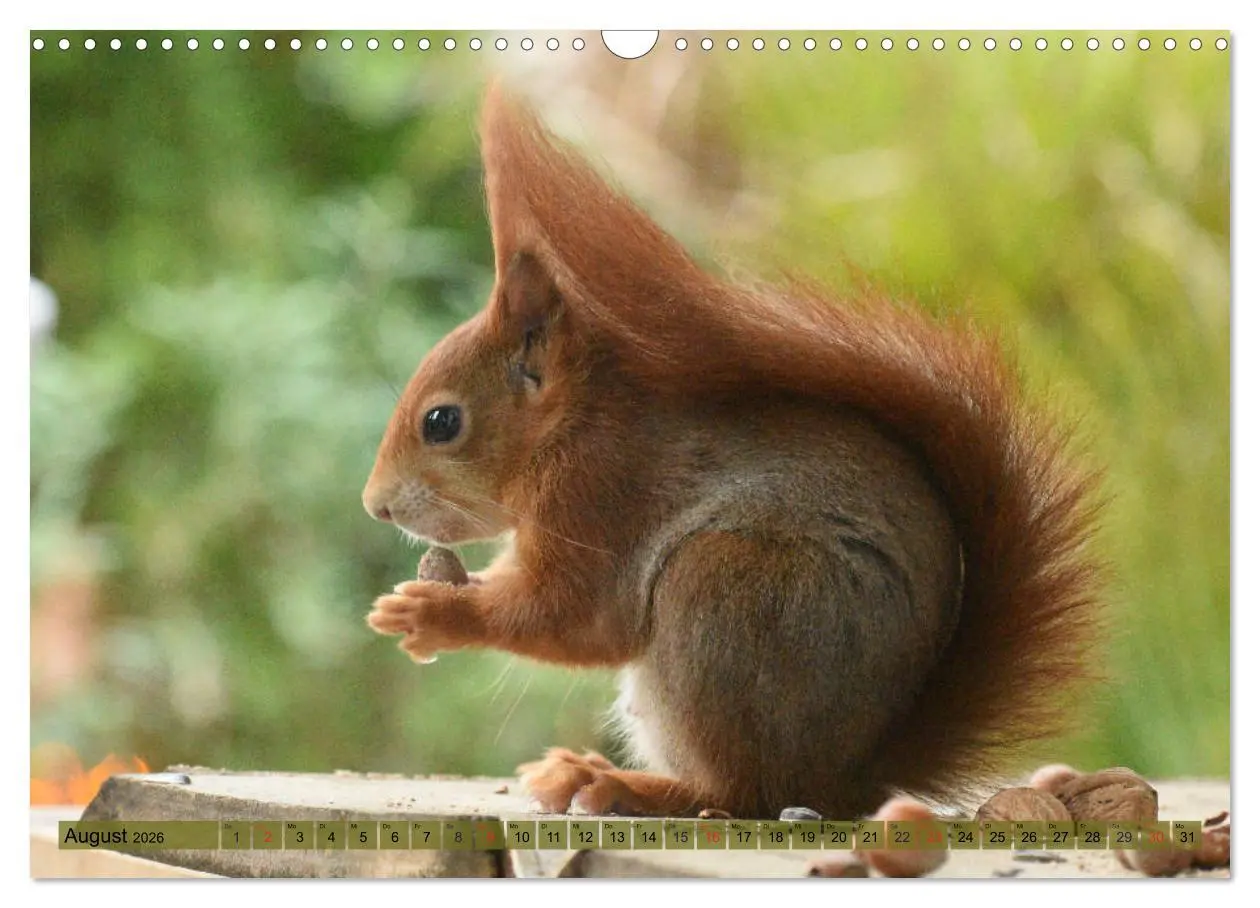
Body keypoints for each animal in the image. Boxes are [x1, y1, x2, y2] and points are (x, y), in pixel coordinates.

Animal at [362, 85, 1104, 820]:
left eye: (441, 421)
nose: (376, 507)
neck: (569, 429)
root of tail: (847, 778)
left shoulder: (599, 499)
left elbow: (571, 617)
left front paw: (431, 614)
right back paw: (587, 771)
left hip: (726, 596)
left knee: (746, 793)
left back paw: (629, 786)